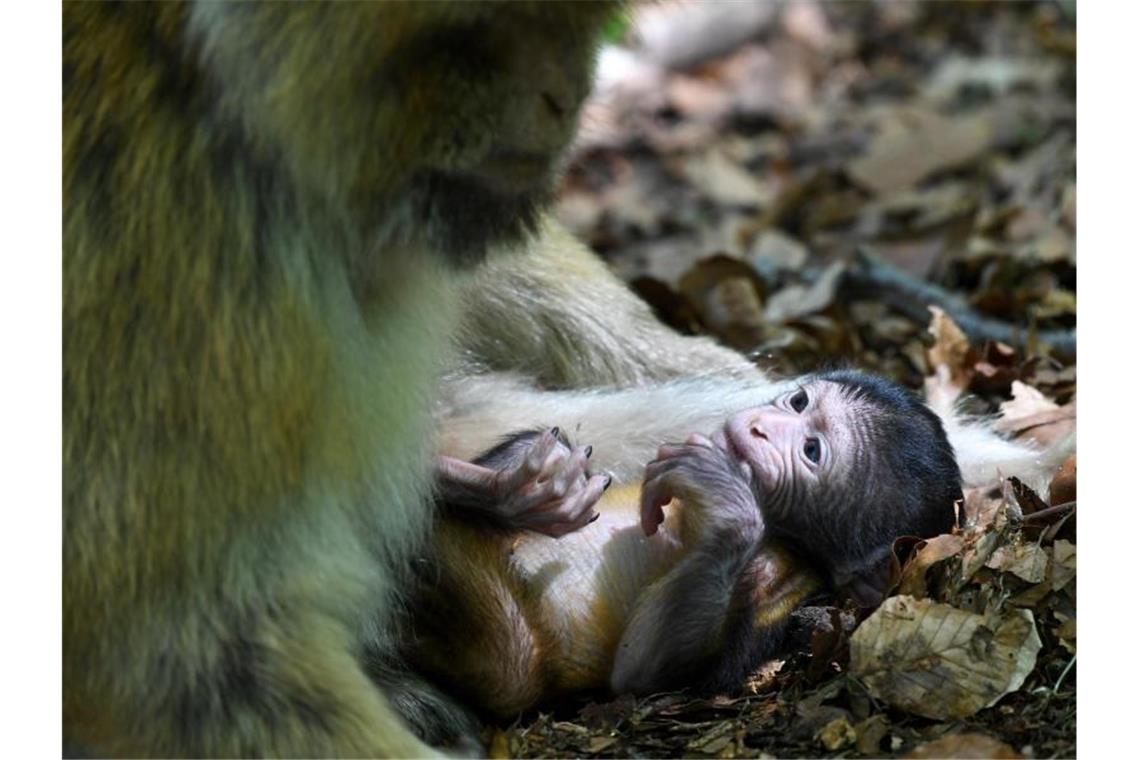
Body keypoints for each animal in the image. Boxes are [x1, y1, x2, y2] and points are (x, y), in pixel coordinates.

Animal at [414, 371, 957, 715]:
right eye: (798, 403)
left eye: (811, 450)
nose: (759, 427)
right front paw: (523, 489)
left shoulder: (785, 573)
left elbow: (640, 674)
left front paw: (724, 495)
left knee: (511, 663)